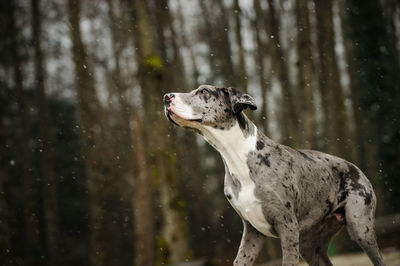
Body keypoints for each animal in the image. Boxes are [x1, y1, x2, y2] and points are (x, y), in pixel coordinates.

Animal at [162, 85, 384, 266]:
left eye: (204, 91)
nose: (166, 97)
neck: (238, 157)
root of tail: (355, 168)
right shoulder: (252, 232)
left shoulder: (287, 228)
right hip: (309, 244)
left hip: (359, 227)